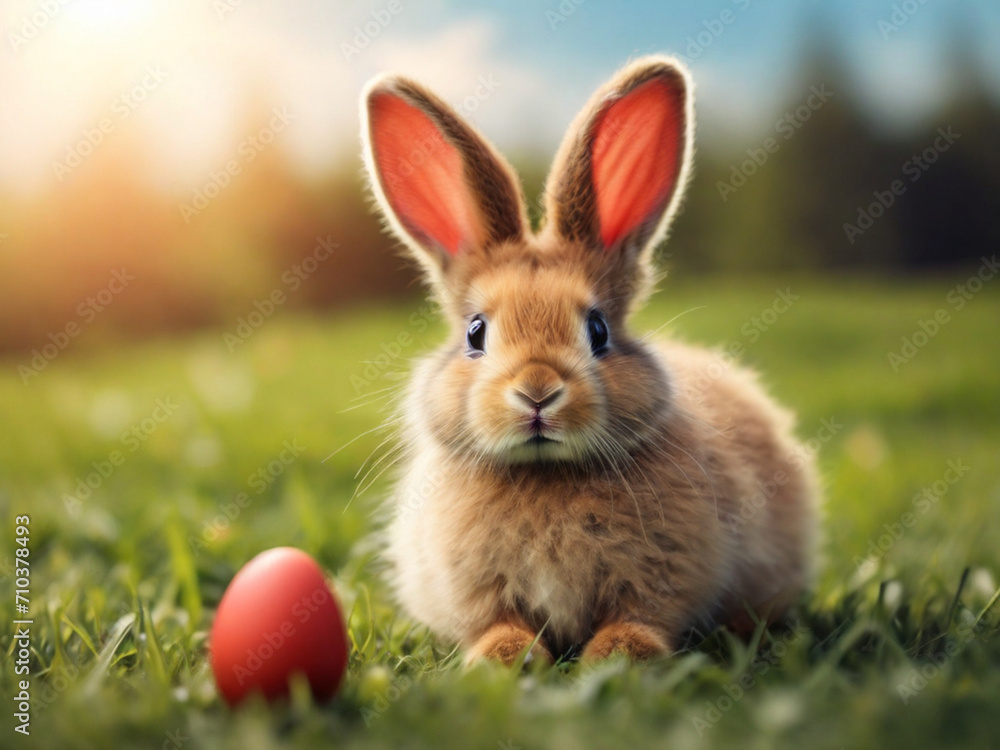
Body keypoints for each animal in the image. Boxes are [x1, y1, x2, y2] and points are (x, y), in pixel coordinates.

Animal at [359, 55, 819, 665]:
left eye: (598, 329)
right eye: (476, 333)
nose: (536, 391)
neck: (547, 473)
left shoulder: (662, 578)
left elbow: (641, 615)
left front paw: (621, 655)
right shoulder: (474, 592)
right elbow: (495, 623)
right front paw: (503, 659)